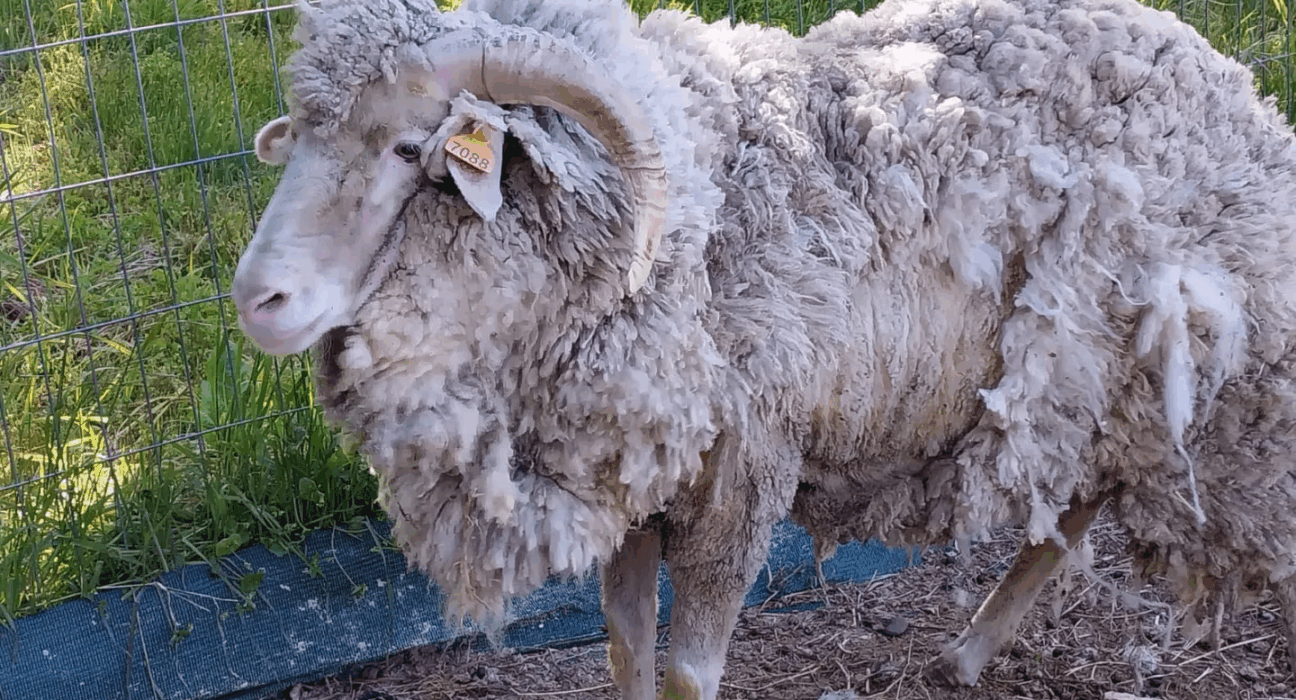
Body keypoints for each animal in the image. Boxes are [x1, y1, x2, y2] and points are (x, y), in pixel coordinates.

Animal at [228, 0, 1296, 697]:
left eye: (411, 150)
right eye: (302, 138)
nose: (257, 300)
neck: (683, 227)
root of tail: (1222, 67)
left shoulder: (740, 479)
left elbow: (688, 674)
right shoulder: (637, 474)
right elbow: (625, 652)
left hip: (1165, 385)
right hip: (1087, 383)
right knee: (1071, 508)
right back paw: (967, 653)